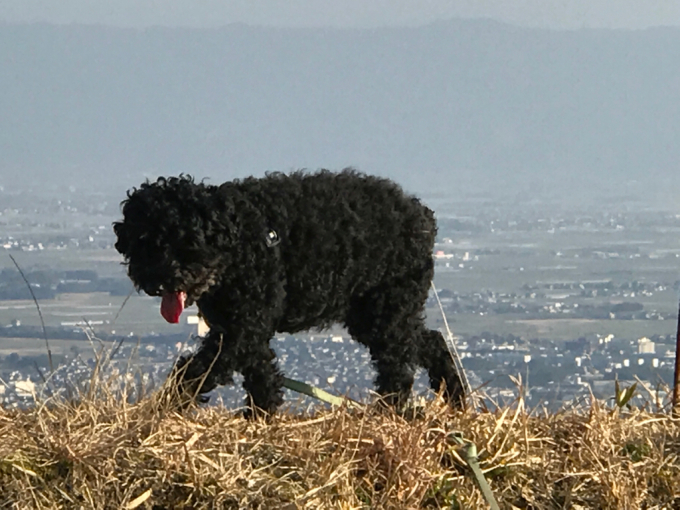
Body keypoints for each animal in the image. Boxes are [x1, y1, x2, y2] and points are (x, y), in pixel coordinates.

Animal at [114, 169, 464, 416]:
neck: (236, 239)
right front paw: (261, 415)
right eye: (143, 242)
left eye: (186, 241)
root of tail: (422, 218)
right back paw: (455, 395)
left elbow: (198, 369)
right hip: (377, 314)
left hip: (387, 309)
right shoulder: (242, 329)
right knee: (428, 341)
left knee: (399, 363)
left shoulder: (241, 329)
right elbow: (261, 372)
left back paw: (389, 408)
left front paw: (168, 402)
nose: (158, 279)